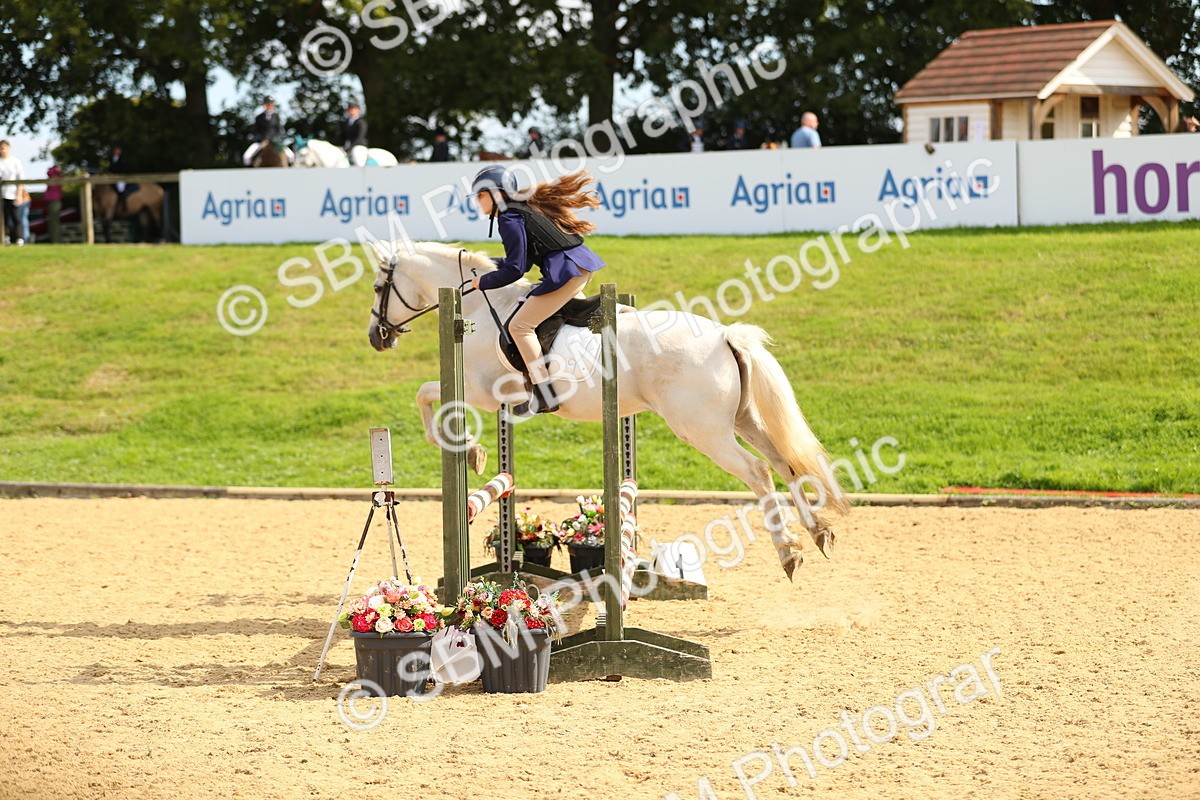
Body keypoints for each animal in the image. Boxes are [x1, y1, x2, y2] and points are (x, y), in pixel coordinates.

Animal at [364, 242, 849, 579]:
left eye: (378, 287)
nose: (376, 336)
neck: (483, 308)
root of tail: (724, 336)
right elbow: (430, 400)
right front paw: (477, 452)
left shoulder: (483, 393)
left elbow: (427, 396)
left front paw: (470, 451)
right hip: (742, 420)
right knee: (783, 461)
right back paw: (819, 532)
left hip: (703, 431)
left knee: (758, 471)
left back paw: (788, 551)